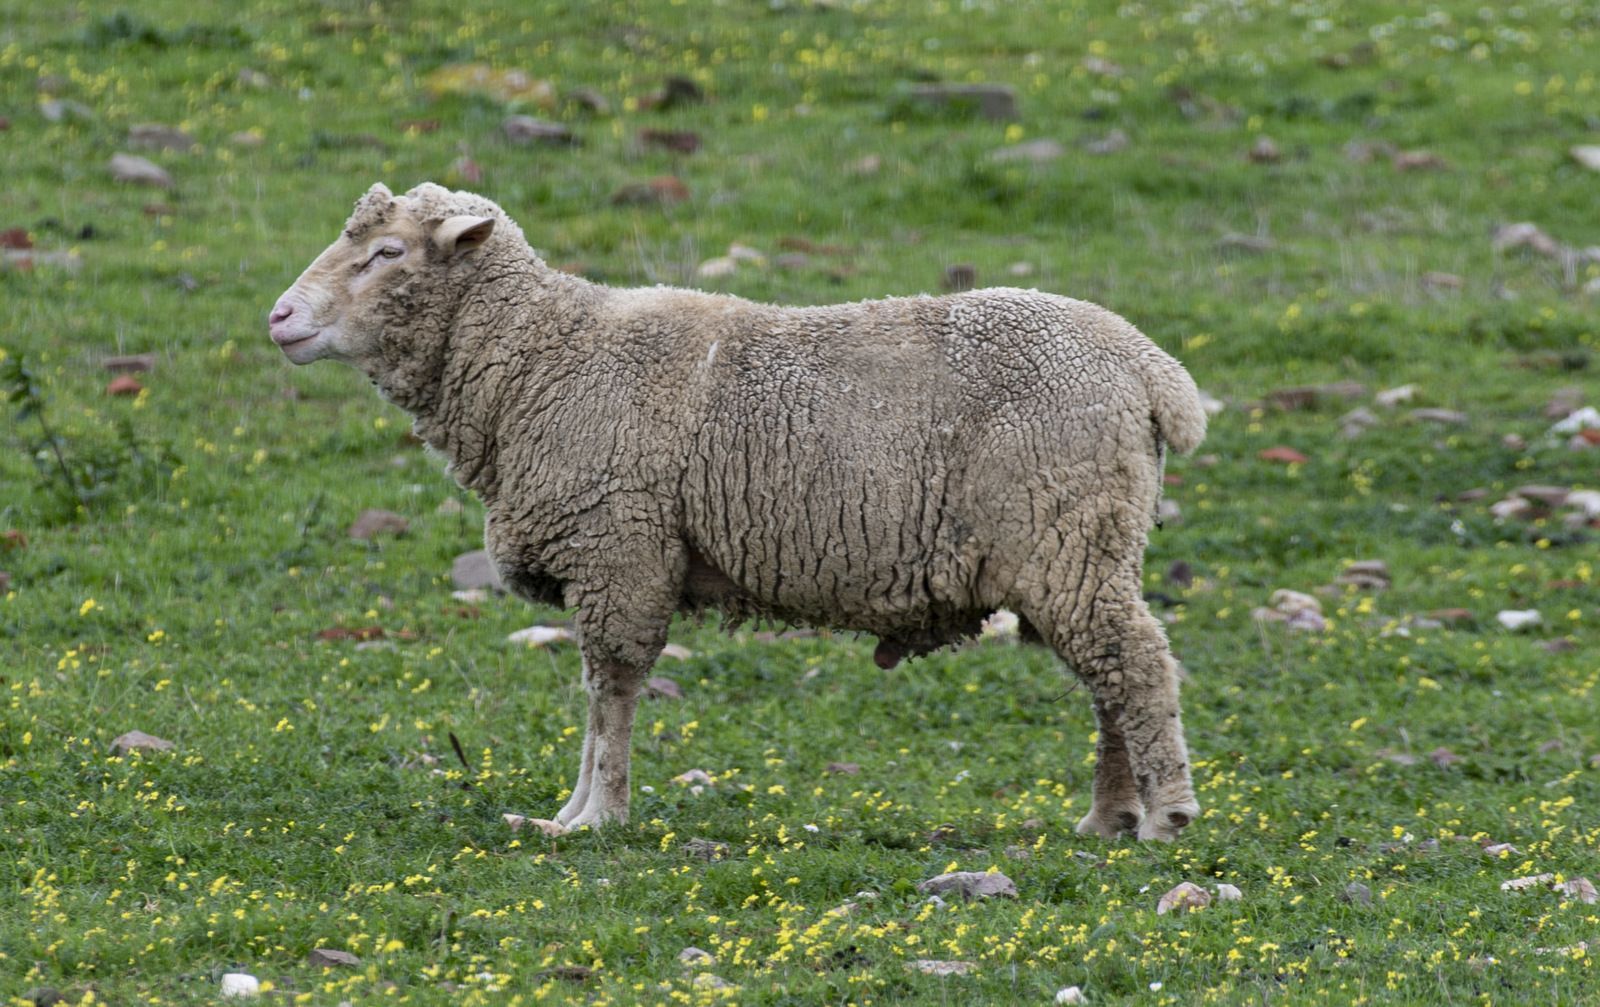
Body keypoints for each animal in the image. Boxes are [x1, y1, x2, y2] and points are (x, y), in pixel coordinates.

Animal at [268, 182, 1208, 841]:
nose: (279, 316)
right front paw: (569, 810)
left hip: (1067, 534)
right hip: (1075, 547)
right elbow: (595, 694)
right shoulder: (609, 556)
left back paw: (1164, 815)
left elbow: (610, 690)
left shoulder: (620, 549)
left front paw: (593, 817)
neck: (541, 358)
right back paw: (1107, 817)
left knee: (1136, 664)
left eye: (387, 252)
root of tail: (1150, 369)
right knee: (1108, 676)